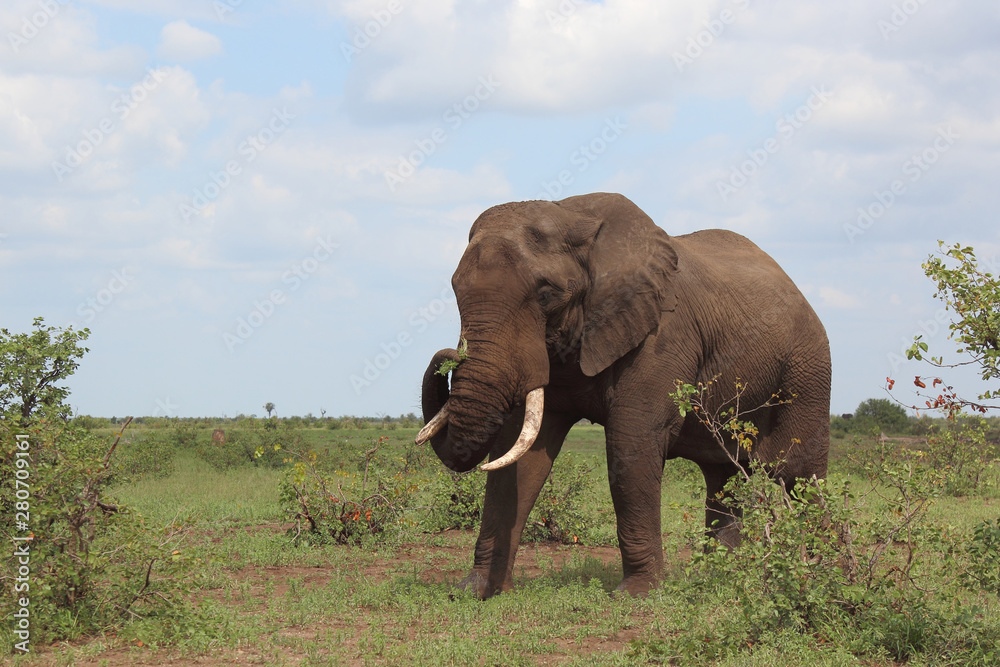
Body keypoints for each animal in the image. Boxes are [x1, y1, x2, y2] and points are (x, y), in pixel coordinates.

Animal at [416, 192, 831, 598]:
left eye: (547, 294)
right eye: (455, 289)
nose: (449, 355)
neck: (572, 216)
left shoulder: (662, 334)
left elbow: (630, 442)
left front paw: (636, 595)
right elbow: (516, 456)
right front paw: (475, 591)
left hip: (807, 371)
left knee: (799, 475)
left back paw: (819, 577)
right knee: (723, 478)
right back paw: (721, 579)